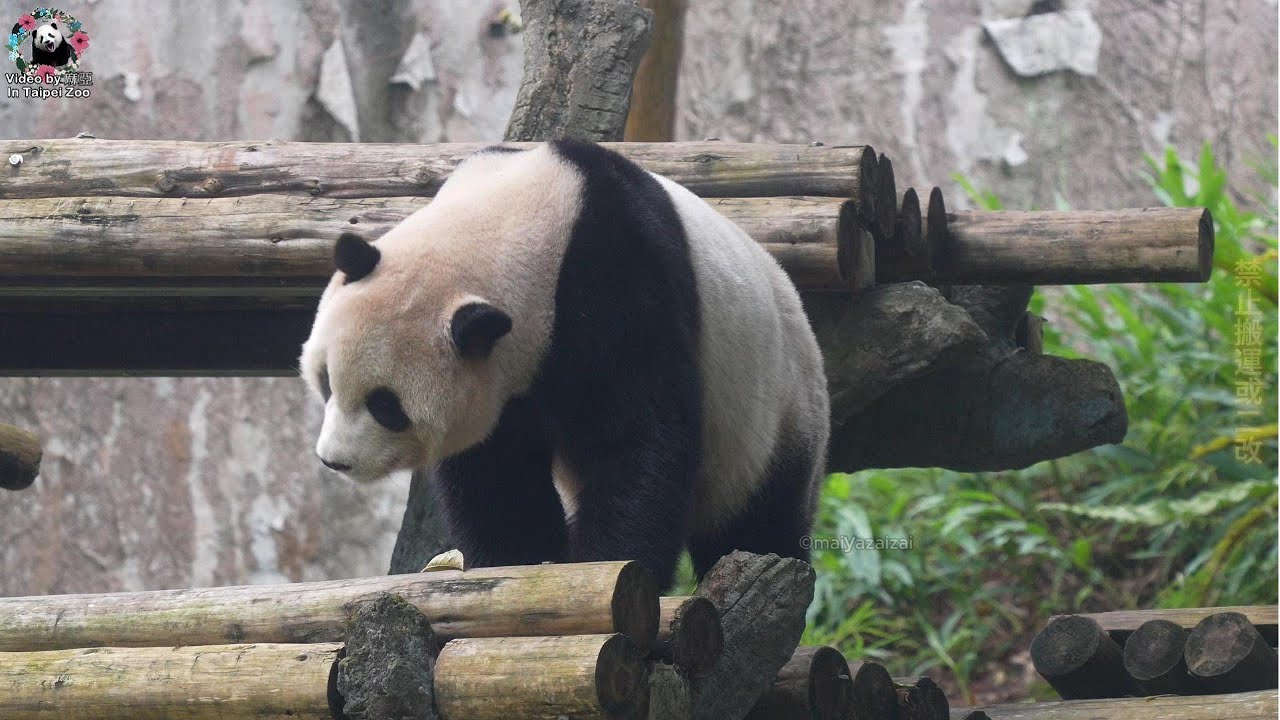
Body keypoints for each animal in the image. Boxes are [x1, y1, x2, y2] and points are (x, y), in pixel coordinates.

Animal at [299, 139, 829, 588]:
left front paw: (611, 563)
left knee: (758, 521)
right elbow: (497, 471)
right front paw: (522, 557)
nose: (334, 460)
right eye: (326, 381)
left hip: (774, 410)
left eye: (387, 406)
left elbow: (640, 438)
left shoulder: (624, 284)